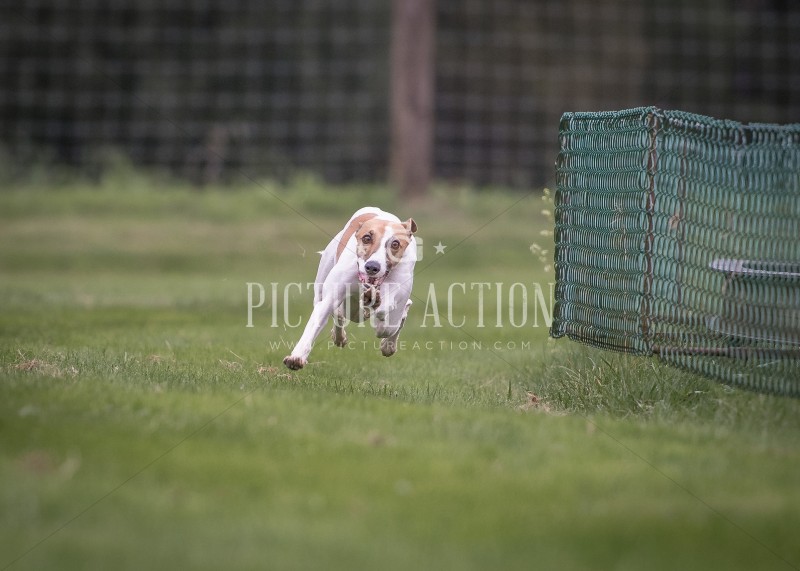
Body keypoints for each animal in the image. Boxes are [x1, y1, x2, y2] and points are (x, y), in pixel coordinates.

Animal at [283, 207, 418, 370]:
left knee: (396, 315)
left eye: (395, 244)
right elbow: (317, 319)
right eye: (367, 238)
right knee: (337, 312)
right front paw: (296, 357)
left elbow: (385, 318)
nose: (372, 267)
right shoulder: (330, 297)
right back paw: (340, 334)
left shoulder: (392, 302)